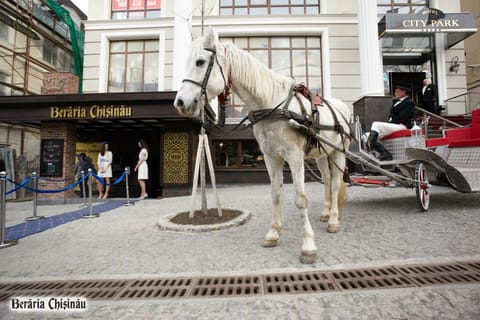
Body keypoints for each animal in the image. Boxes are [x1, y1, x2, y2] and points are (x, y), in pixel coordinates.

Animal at [174, 28, 350, 262]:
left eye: (200, 62)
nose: (180, 102)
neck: (271, 104)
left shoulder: (294, 156)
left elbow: (300, 199)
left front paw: (308, 245)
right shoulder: (270, 156)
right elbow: (275, 195)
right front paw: (273, 233)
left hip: (340, 153)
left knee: (337, 183)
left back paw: (333, 220)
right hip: (322, 155)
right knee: (328, 181)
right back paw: (326, 212)